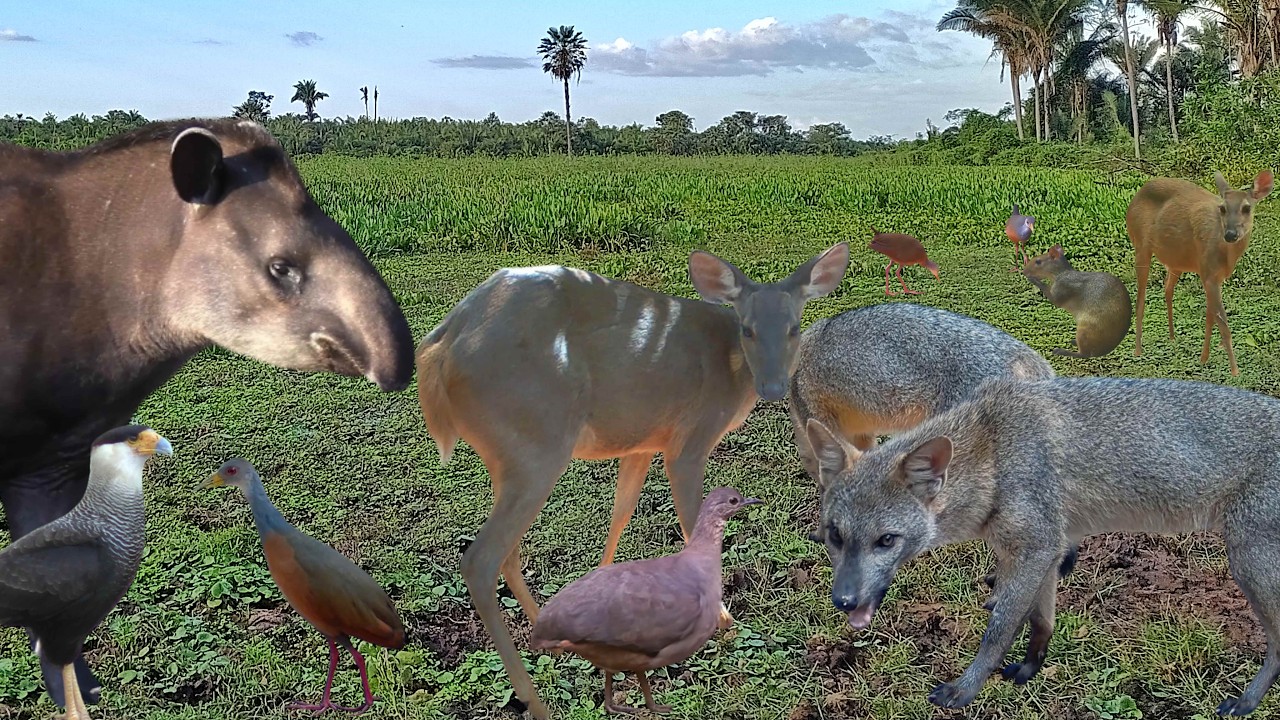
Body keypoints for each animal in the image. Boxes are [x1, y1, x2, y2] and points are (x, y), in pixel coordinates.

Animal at [806, 375, 1280, 716]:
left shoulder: (1034, 549)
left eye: (886, 541)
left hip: (1248, 567)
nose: (844, 601)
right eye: (834, 535)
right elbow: (1041, 621)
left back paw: (1247, 703)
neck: (995, 451)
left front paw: (964, 690)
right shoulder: (1046, 549)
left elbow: (997, 632)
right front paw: (1031, 668)